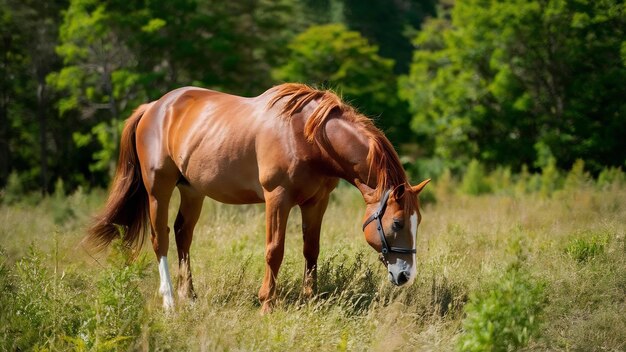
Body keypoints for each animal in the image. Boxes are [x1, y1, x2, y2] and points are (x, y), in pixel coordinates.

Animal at [86, 83, 428, 314]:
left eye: (417, 222)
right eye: (397, 223)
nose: (405, 275)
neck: (308, 136)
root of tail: (154, 106)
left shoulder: (317, 202)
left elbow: (311, 250)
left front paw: (310, 300)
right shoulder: (277, 199)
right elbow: (274, 251)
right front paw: (267, 304)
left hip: (192, 190)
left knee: (184, 235)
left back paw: (189, 296)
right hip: (159, 189)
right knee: (162, 239)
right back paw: (170, 301)